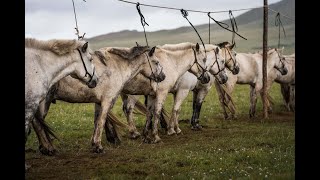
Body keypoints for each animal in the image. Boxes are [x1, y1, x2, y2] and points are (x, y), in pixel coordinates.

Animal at [31, 45, 166, 154]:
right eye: (156, 62)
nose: (163, 77)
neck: (116, 66)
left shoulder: (98, 102)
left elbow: (96, 121)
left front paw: (94, 143)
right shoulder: (107, 101)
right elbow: (102, 121)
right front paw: (98, 146)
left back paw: (44, 148)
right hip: (44, 103)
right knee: (38, 124)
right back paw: (48, 149)